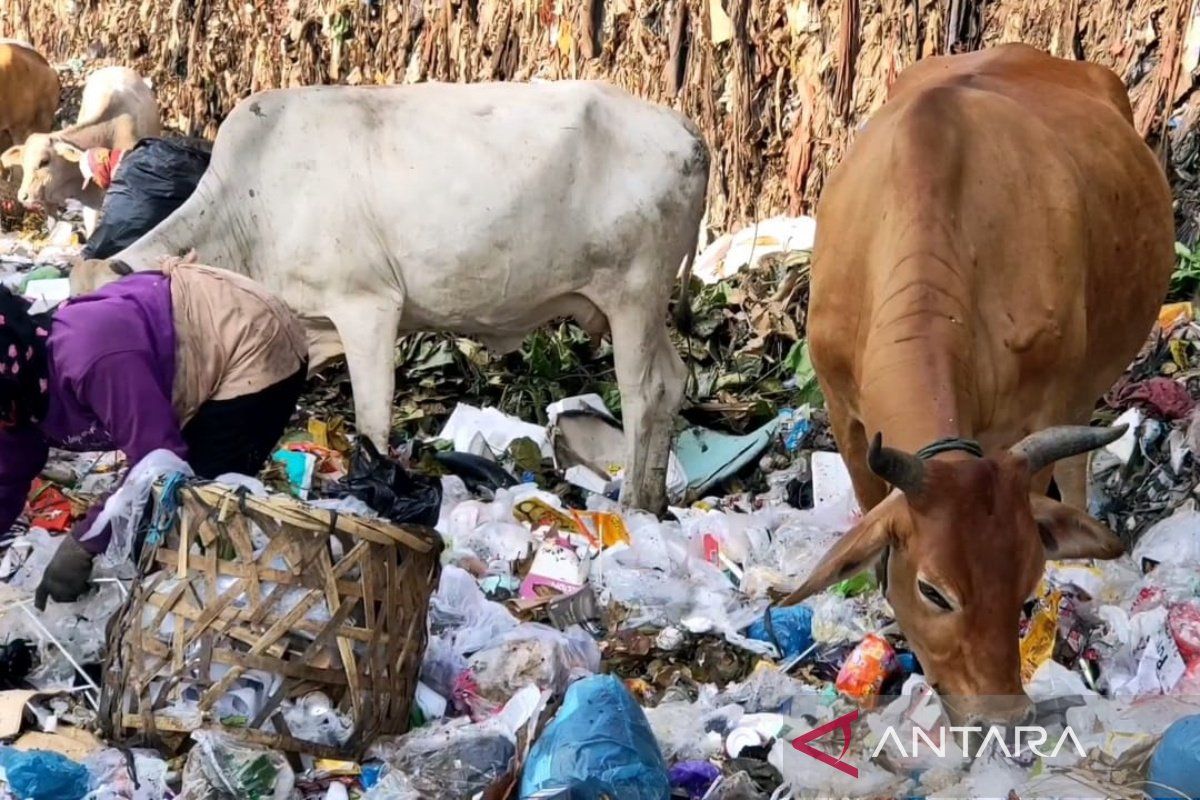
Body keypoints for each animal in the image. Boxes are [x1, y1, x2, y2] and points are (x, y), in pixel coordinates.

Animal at [88, 81, 705, 515]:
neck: (249, 208)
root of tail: (684, 128)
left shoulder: (367, 306)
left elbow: (372, 416)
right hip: (646, 306)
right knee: (673, 381)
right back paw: (655, 500)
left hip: (633, 295)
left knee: (645, 391)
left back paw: (632, 504)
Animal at [777, 47, 1171, 729]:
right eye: (933, 590)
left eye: (1027, 579)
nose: (1005, 714)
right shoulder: (842, 412)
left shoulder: (1036, 411)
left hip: (1083, 384)